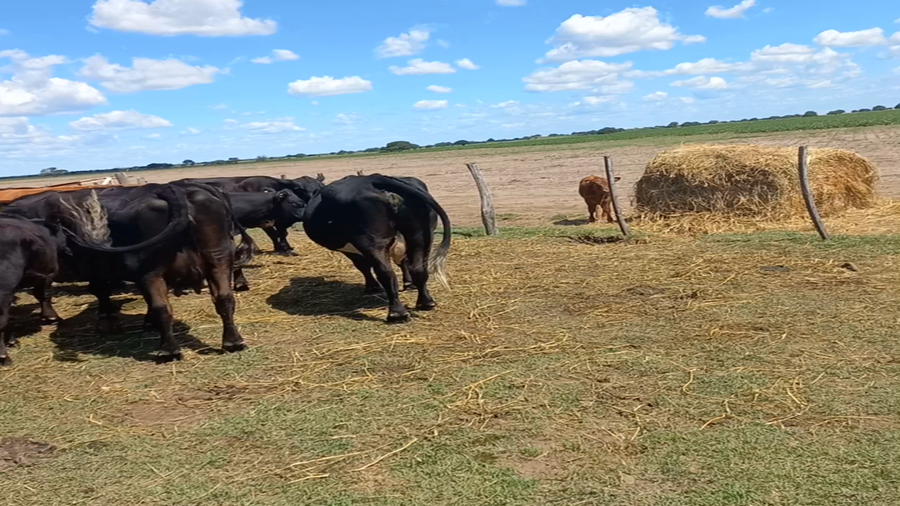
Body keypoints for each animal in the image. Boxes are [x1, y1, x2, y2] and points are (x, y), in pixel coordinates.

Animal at [176, 175, 325, 254]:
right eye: (301, 189)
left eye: (319, 187)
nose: (313, 198)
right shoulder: (265, 222)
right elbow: (275, 234)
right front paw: (281, 249)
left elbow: (282, 234)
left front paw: (286, 247)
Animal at [302, 175, 451, 323]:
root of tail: (375, 178)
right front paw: (408, 284)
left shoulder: (350, 250)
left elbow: (363, 267)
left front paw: (372, 287)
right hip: (421, 235)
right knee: (419, 269)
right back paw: (426, 302)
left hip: (372, 241)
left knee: (386, 273)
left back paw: (397, 313)